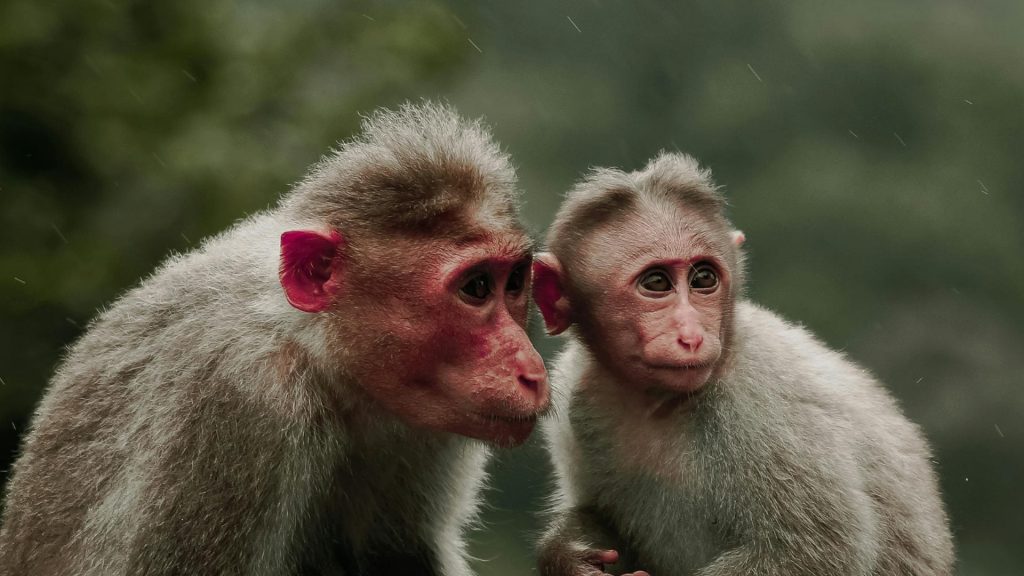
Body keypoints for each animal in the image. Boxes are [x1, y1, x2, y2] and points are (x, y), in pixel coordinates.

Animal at [531, 152, 954, 576]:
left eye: (703, 279)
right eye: (657, 283)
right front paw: (567, 552)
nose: (692, 336)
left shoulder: (762, 403)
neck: (661, 401)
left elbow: (814, 551)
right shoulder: (576, 393)